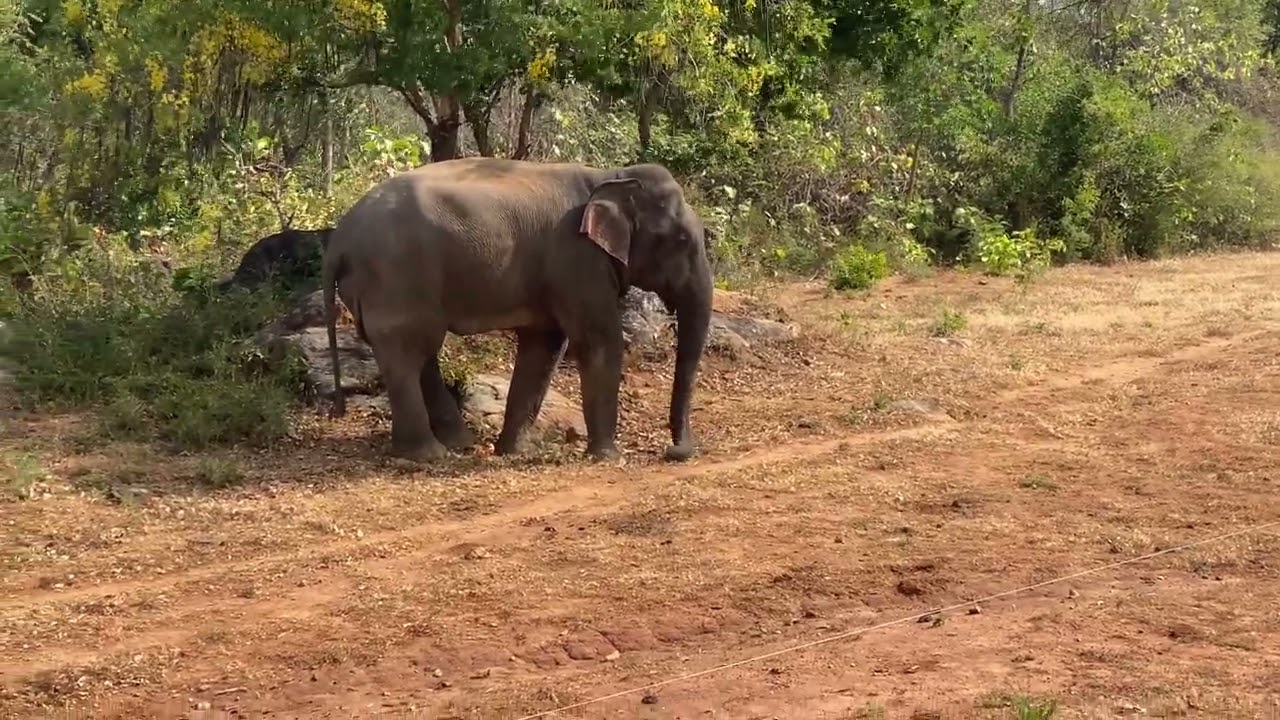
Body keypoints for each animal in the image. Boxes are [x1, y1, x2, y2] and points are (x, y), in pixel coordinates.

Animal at [320, 157, 715, 464]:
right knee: (408, 350)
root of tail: (338, 240)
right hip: (394, 276)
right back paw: (427, 454)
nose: (676, 451)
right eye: (681, 240)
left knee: (418, 351)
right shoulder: (577, 261)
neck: (610, 176)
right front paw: (607, 457)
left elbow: (544, 347)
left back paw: (458, 444)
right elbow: (599, 341)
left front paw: (516, 452)